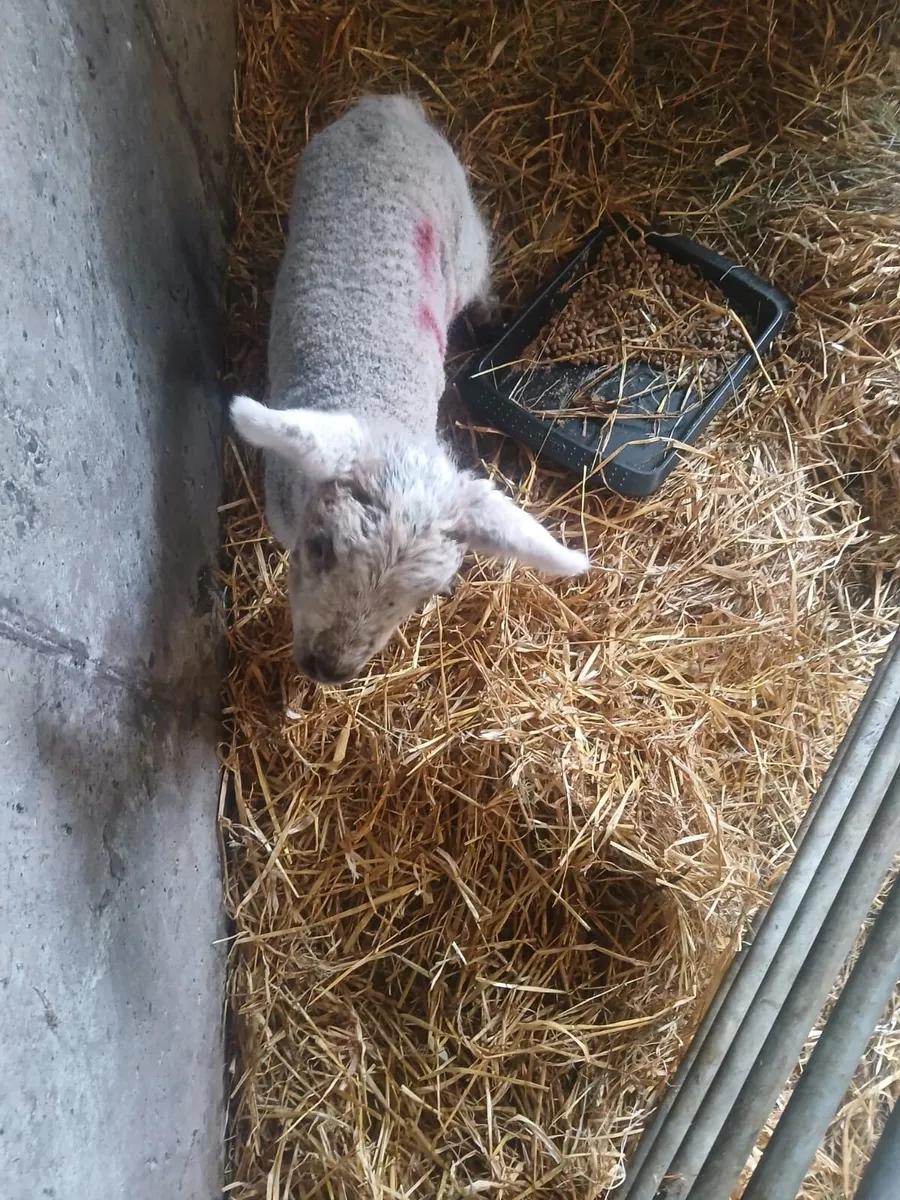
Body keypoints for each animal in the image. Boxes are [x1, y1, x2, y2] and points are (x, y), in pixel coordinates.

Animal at [231, 94, 589, 684]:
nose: (329, 669)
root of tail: (389, 108)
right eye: (321, 547)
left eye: (427, 594)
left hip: (463, 235)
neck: (377, 399)